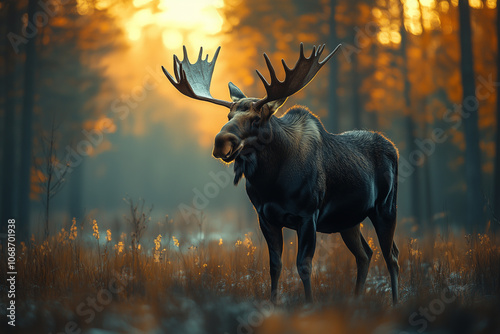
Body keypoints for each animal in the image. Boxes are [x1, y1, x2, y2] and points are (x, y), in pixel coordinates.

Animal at [162, 43, 400, 304]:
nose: (221, 142)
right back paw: (357, 299)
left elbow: (304, 265)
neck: (273, 185)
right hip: (348, 219)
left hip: (385, 207)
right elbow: (274, 266)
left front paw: (309, 304)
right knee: (365, 254)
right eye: (228, 116)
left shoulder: (308, 215)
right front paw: (273, 303)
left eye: (256, 119)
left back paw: (395, 302)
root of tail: (394, 148)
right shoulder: (265, 216)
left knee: (392, 256)